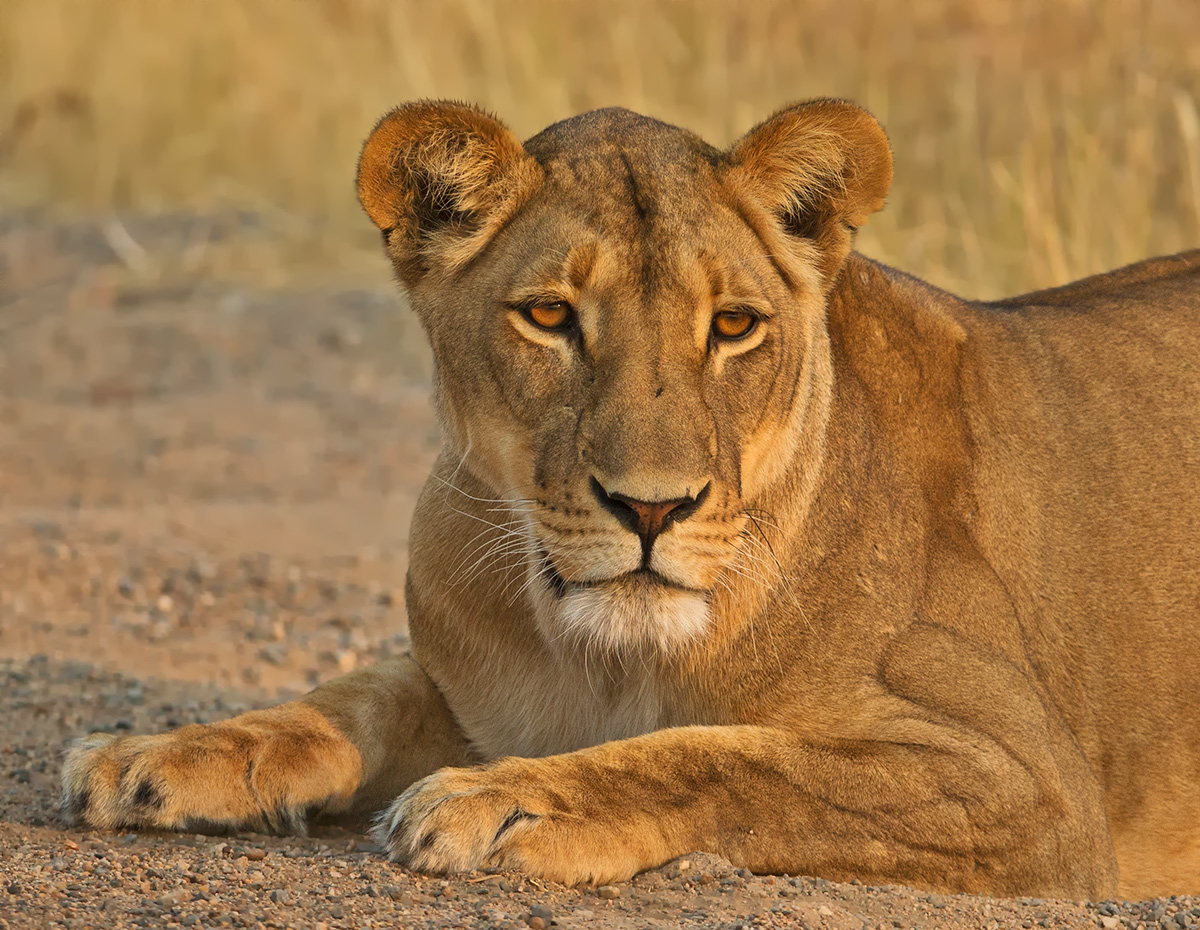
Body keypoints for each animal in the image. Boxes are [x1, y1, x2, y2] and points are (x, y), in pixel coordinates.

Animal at [60, 99, 1200, 901]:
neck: (604, 657)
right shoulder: (467, 682)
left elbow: (738, 760)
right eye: (549, 316)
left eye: (734, 325)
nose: (652, 510)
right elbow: (350, 694)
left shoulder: (1024, 781)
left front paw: (512, 800)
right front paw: (158, 754)